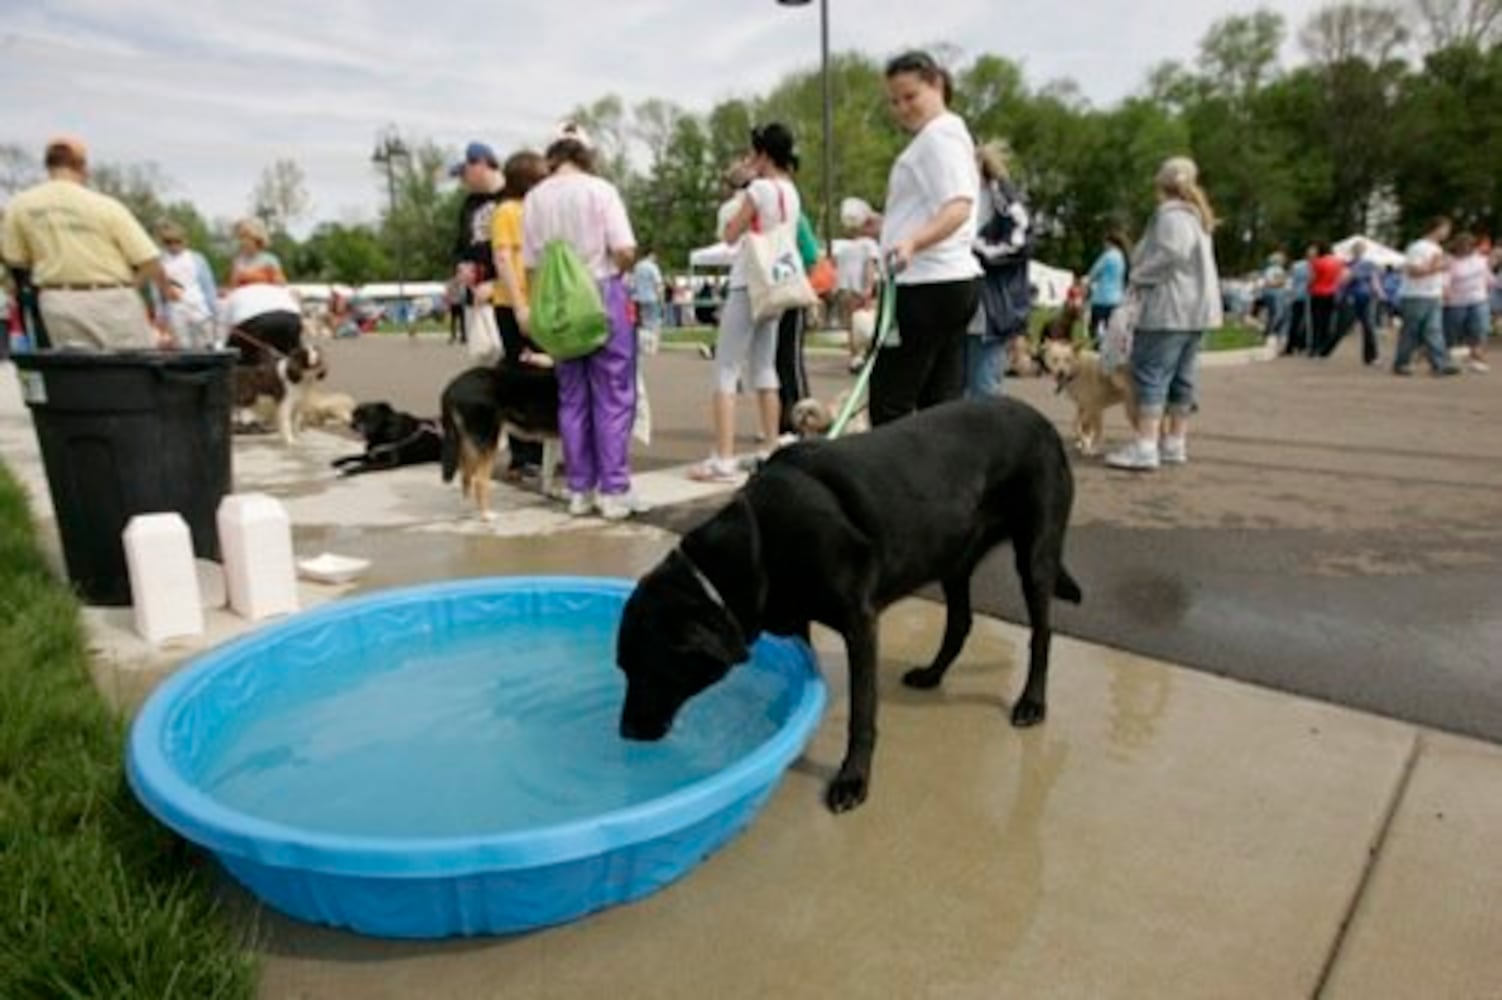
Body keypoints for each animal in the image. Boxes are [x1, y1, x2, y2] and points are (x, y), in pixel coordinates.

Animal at [444, 358, 567, 516]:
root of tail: (452, 387)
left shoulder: (553, 439)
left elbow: (548, 469)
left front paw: (550, 493)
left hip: (469, 441)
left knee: (466, 476)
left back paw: (468, 509)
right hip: (489, 439)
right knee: (479, 480)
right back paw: (486, 515)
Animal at [615, 396, 1087, 810]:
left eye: (647, 666)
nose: (624, 733)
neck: (757, 543)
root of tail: (1041, 419)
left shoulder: (860, 624)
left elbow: (862, 713)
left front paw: (852, 779)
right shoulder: (800, 620)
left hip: (1035, 555)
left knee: (1041, 634)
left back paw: (1031, 703)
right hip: (952, 558)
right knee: (960, 623)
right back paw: (932, 674)